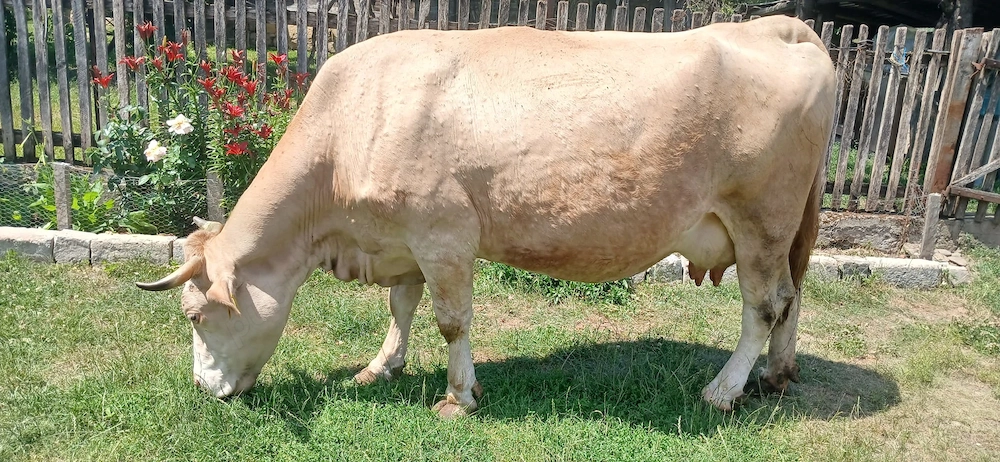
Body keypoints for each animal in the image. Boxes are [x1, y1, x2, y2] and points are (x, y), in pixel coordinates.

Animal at [136, 15, 835, 416]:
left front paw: (458, 397)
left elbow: (450, 320)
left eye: (196, 315)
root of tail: (782, 25)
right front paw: (380, 367)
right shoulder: (401, 238)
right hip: (783, 230)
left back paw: (724, 389)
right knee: (793, 297)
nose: (201, 389)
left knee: (764, 304)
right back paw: (775, 376)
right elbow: (401, 305)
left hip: (760, 219)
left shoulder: (443, 232)